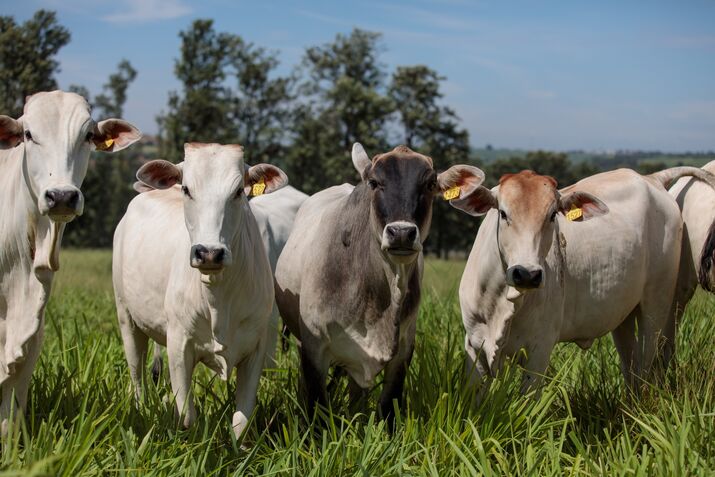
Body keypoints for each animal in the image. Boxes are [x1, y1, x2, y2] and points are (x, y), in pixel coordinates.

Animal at [112, 143, 288, 439]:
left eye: (238, 191)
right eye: (187, 189)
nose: (209, 253)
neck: (219, 299)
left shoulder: (256, 349)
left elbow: (241, 421)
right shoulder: (179, 346)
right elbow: (186, 416)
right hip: (127, 318)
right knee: (137, 375)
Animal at [275, 143, 486, 425]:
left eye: (430, 184)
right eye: (374, 182)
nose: (402, 233)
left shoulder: (403, 350)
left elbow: (388, 407)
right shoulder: (313, 348)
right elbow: (317, 411)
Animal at [457, 167, 715, 394]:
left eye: (552, 215)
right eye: (503, 213)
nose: (527, 274)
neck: (501, 303)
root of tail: (652, 178)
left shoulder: (540, 348)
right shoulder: (474, 345)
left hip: (657, 308)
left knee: (649, 364)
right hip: (623, 316)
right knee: (631, 368)